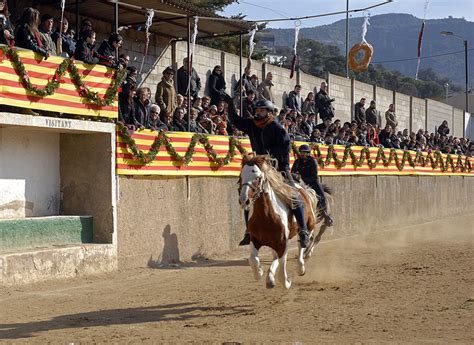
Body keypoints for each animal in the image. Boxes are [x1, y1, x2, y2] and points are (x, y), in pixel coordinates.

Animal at [239, 153, 332, 288]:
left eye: (257, 177)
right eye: (240, 177)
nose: (244, 200)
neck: (266, 215)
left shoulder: (283, 242)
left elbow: (282, 274)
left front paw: (286, 281)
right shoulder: (255, 240)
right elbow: (253, 260)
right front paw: (260, 272)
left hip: (309, 226)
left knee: (302, 244)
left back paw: (301, 267)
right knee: (275, 256)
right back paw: (270, 277)